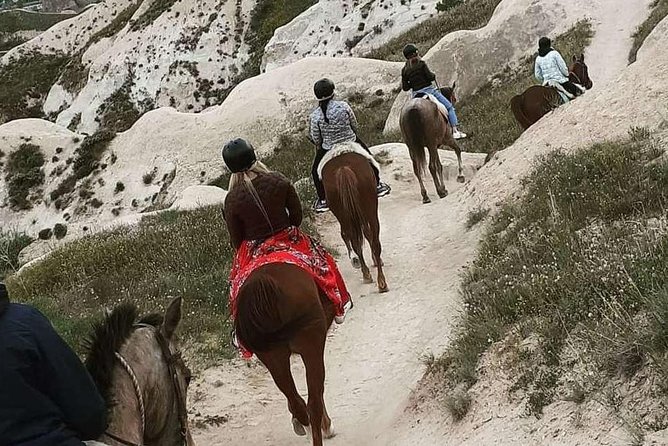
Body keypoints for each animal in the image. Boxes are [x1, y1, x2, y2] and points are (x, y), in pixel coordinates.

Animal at [236, 264, 340, 446]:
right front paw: (327, 427)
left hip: (273, 357)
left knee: (297, 402)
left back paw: (304, 424)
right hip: (311, 343)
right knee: (314, 401)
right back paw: (321, 429)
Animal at [320, 152, 388, 292]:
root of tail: (343, 169)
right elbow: (368, 235)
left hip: (344, 215)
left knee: (354, 240)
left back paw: (369, 275)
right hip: (370, 210)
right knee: (373, 240)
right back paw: (379, 280)